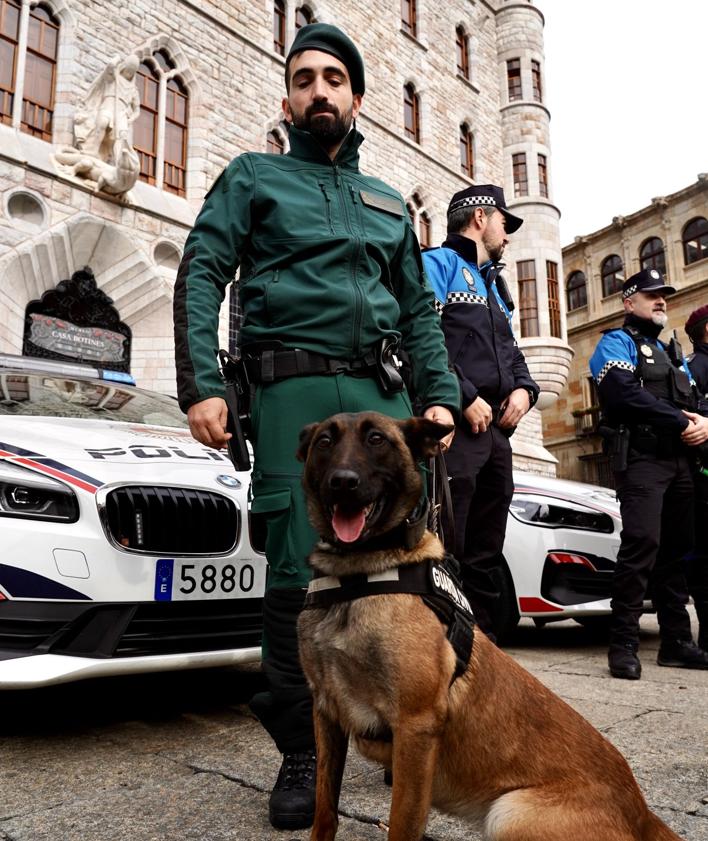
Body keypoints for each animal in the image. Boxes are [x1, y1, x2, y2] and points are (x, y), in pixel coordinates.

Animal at [296, 412, 684, 840]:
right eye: (325, 441)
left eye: (377, 439)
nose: (342, 482)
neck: (357, 576)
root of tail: (641, 812)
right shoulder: (326, 713)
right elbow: (324, 809)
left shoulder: (415, 728)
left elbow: (400, 825)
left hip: (510, 812)